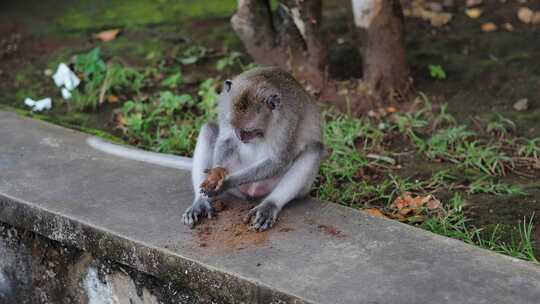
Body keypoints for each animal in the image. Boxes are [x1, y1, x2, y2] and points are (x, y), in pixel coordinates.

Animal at [181, 67, 324, 230]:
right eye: (234, 126)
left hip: (280, 186)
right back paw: (201, 202)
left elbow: (279, 161)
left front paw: (227, 182)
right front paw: (215, 175)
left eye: (249, 130)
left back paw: (270, 204)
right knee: (209, 129)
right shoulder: (225, 105)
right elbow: (226, 140)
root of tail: (251, 192)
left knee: (314, 149)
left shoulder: (288, 121)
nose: (240, 137)